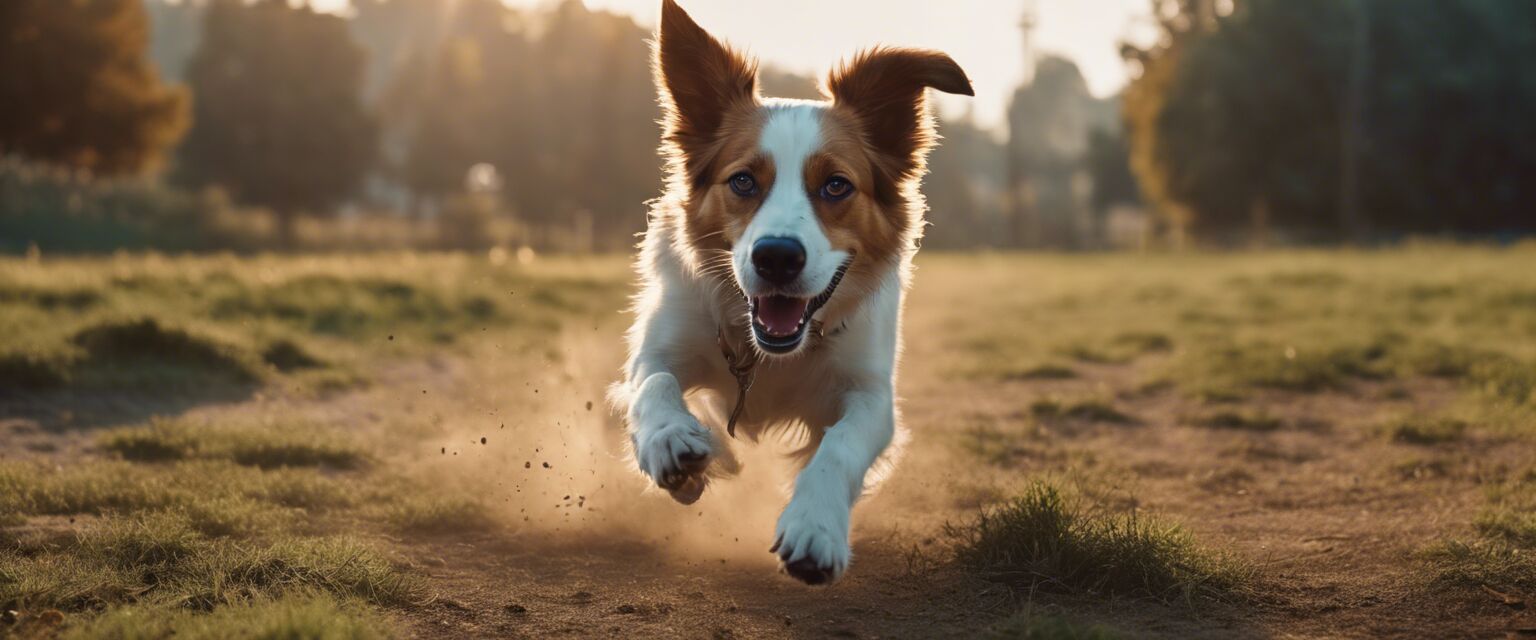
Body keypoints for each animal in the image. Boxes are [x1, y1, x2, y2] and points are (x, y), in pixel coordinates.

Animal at [611, 0, 970, 583]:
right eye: (742, 181)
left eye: (836, 185)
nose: (776, 257)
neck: (770, 357)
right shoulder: (660, 347)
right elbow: (654, 383)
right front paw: (671, 441)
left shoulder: (871, 394)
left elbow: (839, 447)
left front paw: (815, 526)